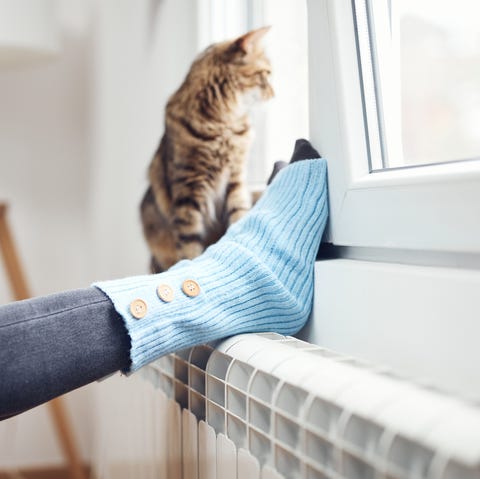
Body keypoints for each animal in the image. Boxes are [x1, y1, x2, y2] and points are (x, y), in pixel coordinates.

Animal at [141, 27, 272, 274]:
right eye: (266, 74)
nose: (273, 92)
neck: (223, 125)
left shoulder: (235, 180)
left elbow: (239, 216)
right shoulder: (188, 189)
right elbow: (190, 244)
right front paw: (191, 265)